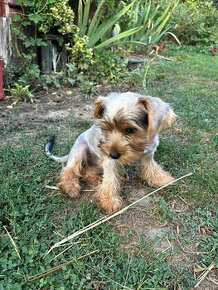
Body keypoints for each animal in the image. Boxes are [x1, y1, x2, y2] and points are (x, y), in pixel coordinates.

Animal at [45, 93, 177, 213]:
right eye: (106, 128)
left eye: (130, 130)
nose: (113, 154)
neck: (141, 144)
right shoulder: (109, 162)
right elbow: (110, 180)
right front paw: (109, 201)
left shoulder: (148, 155)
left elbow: (152, 168)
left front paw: (161, 179)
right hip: (80, 151)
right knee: (68, 170)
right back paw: (71, 187)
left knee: (87, 170)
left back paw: (94, 177)